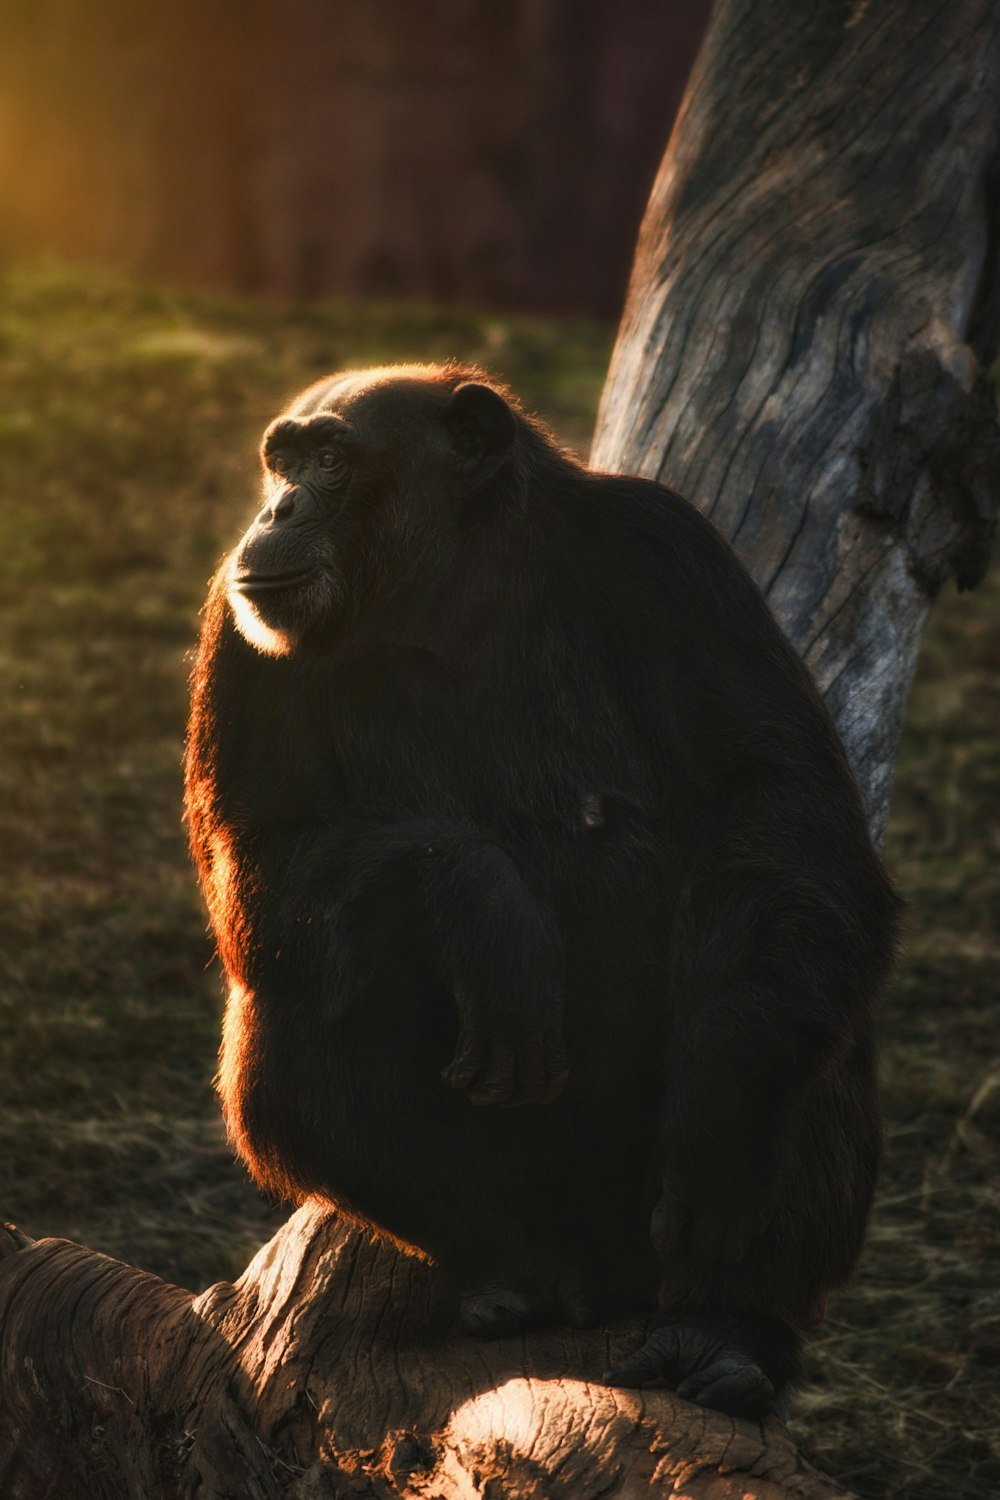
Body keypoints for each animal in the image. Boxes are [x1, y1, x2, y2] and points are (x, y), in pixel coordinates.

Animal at [185, 363, 899, 1416]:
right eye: (284, 461)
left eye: (330, 460)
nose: (276, 506)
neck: (452, 589)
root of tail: (610, 1281)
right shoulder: (231, 632)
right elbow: (257, 849)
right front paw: (484, 909)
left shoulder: (676, 554)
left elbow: (775, 798)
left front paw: (723, 1111)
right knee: (296, 1008)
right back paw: (519, 1274)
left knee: (793, 978)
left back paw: (723, 1328)